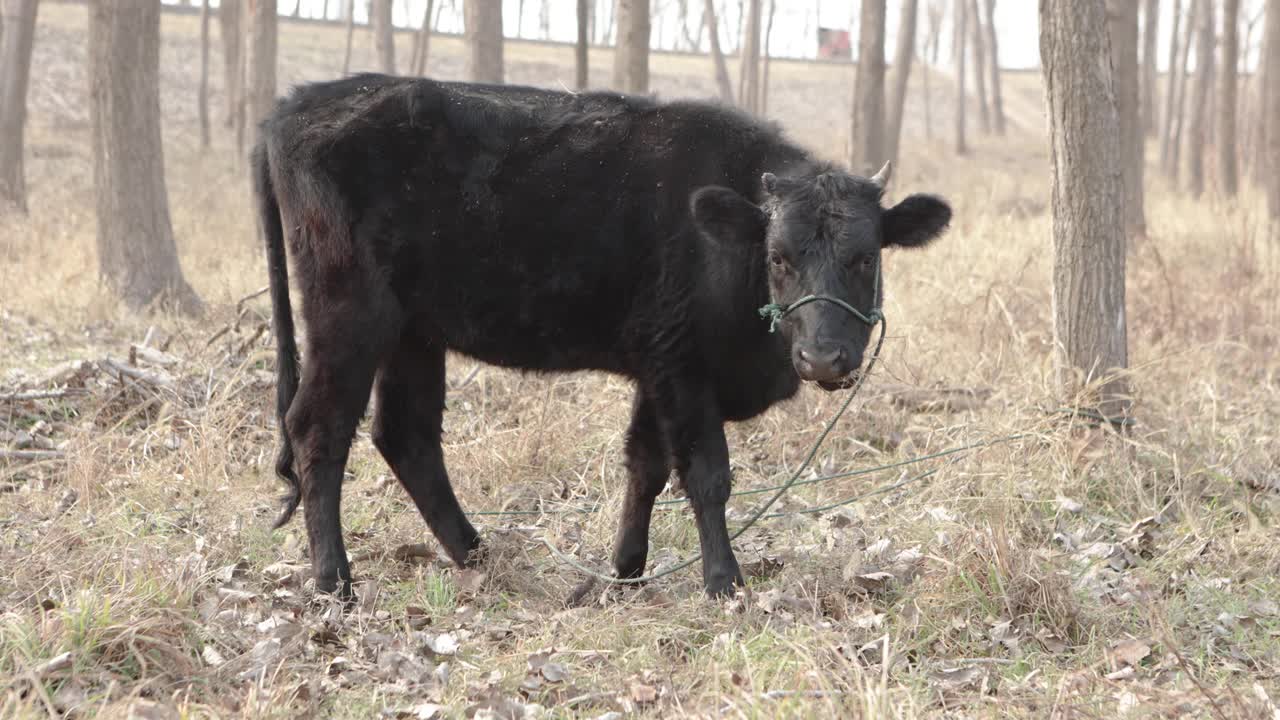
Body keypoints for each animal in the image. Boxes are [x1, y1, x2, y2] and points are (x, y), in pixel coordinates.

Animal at [252, 75, 952, 597]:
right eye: (778, 257)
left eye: (865, 257)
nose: (823, 357)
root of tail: (295, 104)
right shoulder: (682, 366)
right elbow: (706, 474)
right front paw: (723, 582)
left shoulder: (658, 365)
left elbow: (645, 465)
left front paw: (625, 571)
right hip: (349, 317)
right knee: (317, 427)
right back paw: (335, 580)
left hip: (414, 334)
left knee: (407, 435)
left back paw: (479, 555)